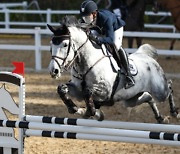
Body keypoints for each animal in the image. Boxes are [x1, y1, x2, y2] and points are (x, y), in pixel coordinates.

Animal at [47, 21, 179, 123]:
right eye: (51, 44)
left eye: (65, 44)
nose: (54, 71)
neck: (86, 65)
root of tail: (146, 56)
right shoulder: (77, 90)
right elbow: (62, 89)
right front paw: (74, 108)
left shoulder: (105, 91)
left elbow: (87, 91)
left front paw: (90, 112)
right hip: (131, 99)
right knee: (148, 97)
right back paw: (161, 118)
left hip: (160, 91)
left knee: (169, 87)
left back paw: (174, 112)